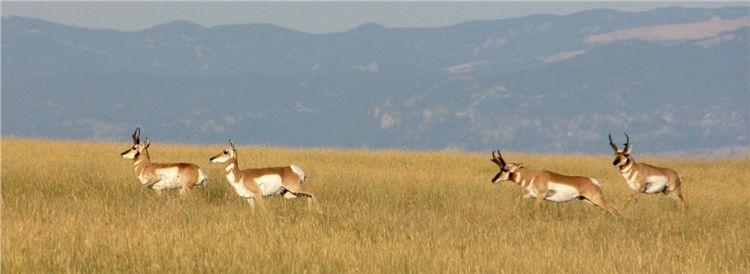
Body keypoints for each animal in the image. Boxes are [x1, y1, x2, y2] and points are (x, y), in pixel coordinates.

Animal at [494, 150, 624, 216]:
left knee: (612, 209)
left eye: (505, 169)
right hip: (589, 200)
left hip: (595, 199)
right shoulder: (531, 195)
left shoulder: (540, 196)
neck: (534, 175)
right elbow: (519, 197)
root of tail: (593, 181)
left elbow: (533, 209)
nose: (493, 180)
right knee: (613, 207)